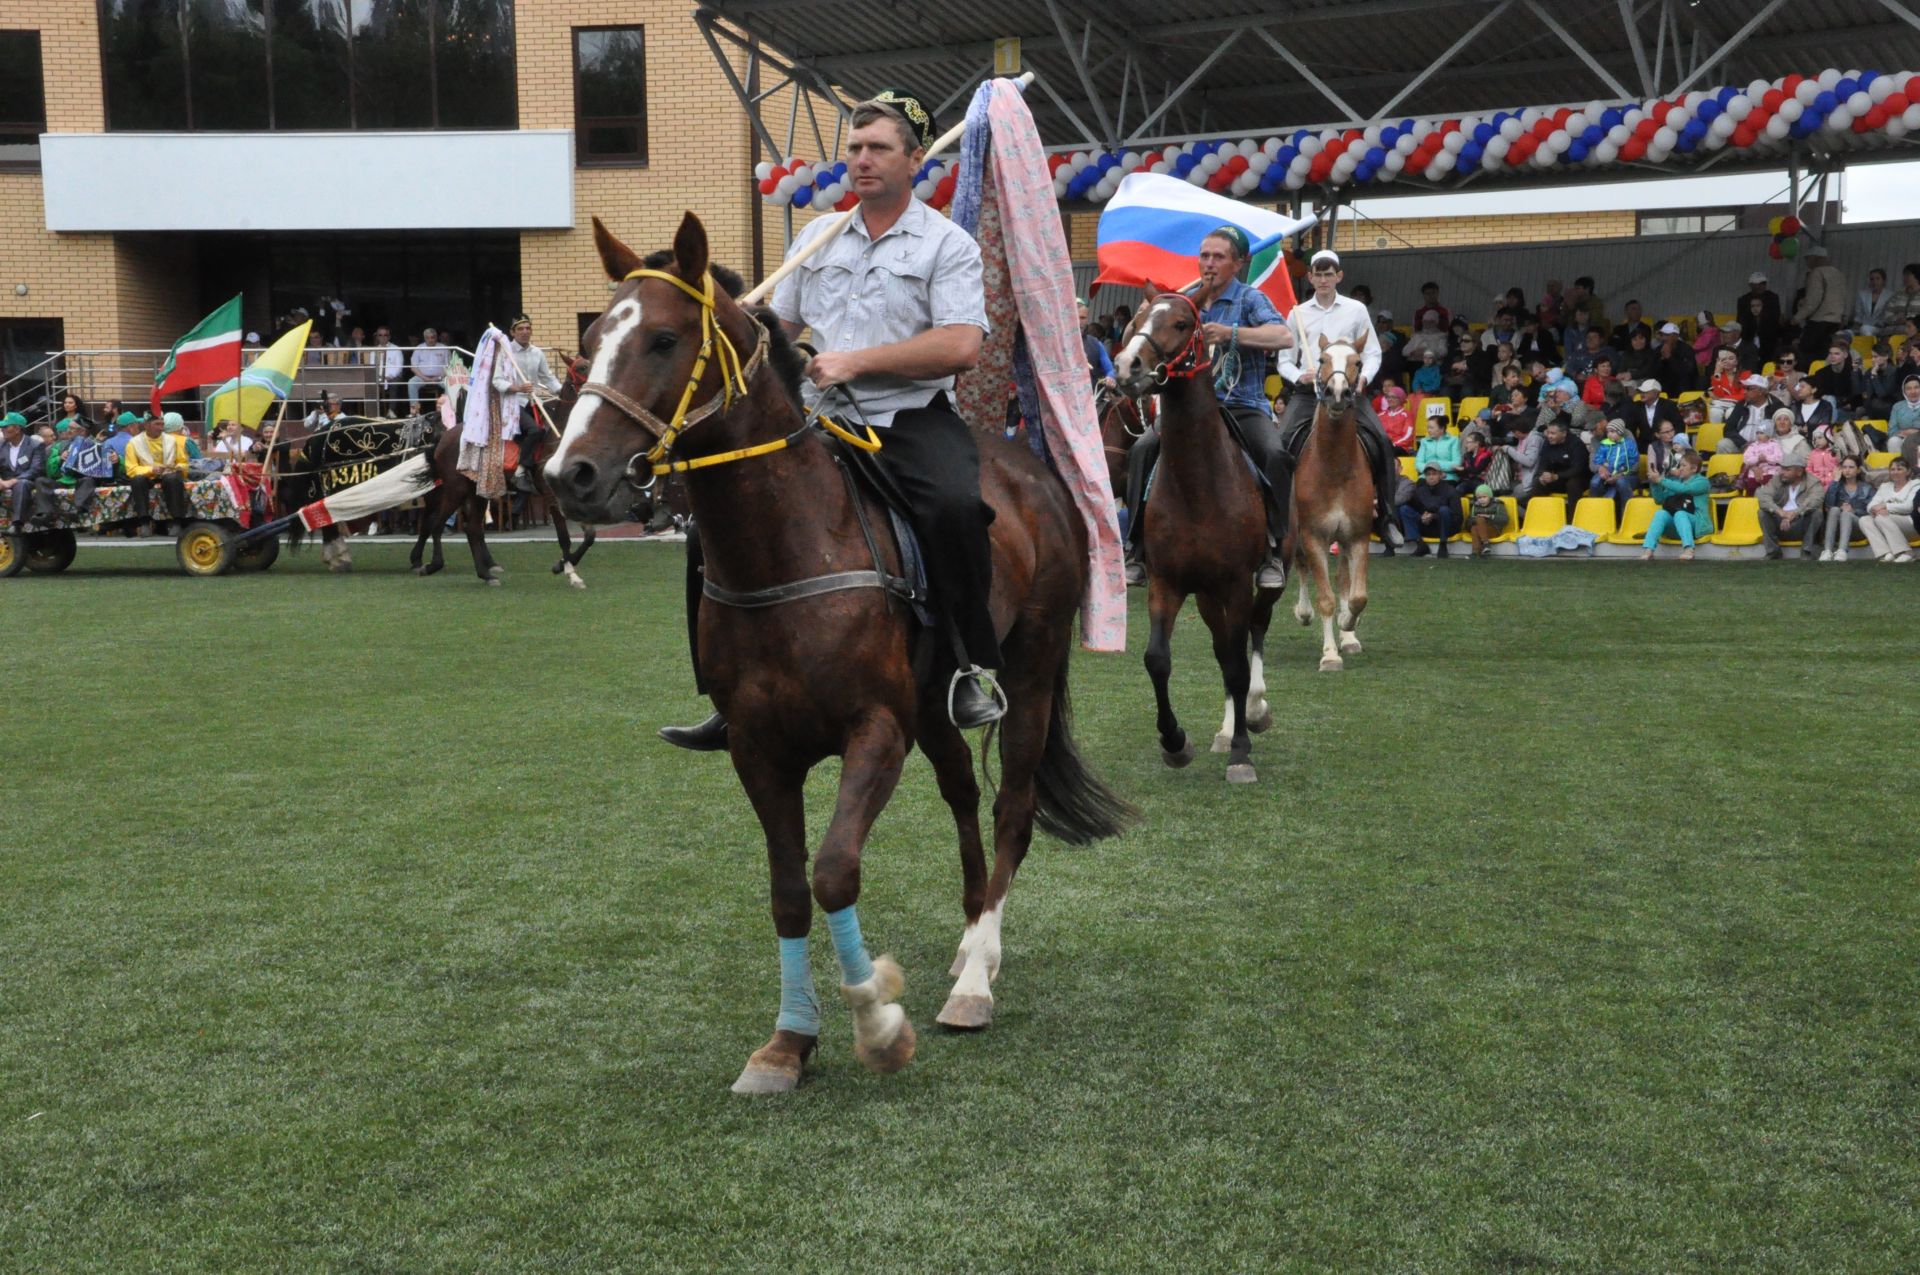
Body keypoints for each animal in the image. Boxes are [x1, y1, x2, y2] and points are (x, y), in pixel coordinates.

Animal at [549, 214, 1128, 1090]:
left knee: (1012, 808)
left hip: (1030, 667)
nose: (569, 474)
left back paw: (976, 979)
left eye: (663, 338)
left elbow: (833, 869)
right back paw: (967, 943)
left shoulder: (875, 733)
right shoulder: (759, 748)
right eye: (590, 341)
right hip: (934, 701)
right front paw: (788, 1041)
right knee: (963, 791)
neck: (791, 545)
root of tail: (1035, 470)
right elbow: (789, 888)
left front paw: (878, 1020)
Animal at [1113, 291, 1274, 783]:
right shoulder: (1167, 583)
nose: (1127, 365)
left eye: (1182, 323)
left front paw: (1241, 753)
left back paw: (1253, 713)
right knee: (1223, 649)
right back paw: (1225, 730)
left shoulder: (1238, 584)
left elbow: (1239, 665)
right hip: (1205, 595)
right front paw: (1174, 741)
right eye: (1136, 325)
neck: (1199, 483)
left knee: (1254, 632)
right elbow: (1157, 659)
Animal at [1290, 337, 1382, 672]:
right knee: (1301, 566)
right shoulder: (1313, 537)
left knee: (1343, 578)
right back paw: (1303, 613)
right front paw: (1330, 655)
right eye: (1321, 359)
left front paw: (1347, 625)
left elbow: (1357, 596)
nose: (1338, 392)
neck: (1335, 466)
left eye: (1357, 362)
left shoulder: (1357, 536)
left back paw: (1349, 636)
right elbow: (1325, 598)